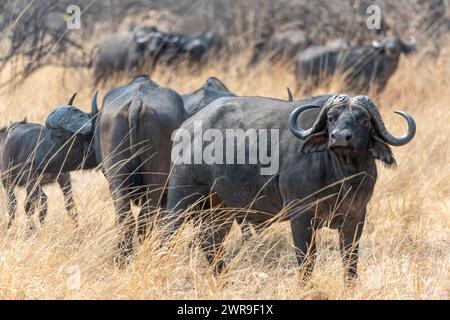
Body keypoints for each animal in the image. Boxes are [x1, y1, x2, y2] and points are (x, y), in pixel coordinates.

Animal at [0, 94, 98, 231]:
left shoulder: (7, 182)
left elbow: (14, 206)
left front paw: (12, 228)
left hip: (32, 180)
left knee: (41, 201)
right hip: (63, 178)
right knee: (70, 204)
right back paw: (76, 230)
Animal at [167, 94, 416, 282]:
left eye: (363, 120)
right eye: (332, 118)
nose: (339, 138)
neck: (342, 178)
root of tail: (186, 127)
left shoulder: (356, 217)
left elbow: (350, 260)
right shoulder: (301, 216)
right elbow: (307, 260)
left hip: (221, 209)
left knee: (210, 242)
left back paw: (225, 280)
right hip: (183, 196)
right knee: (168, 231)